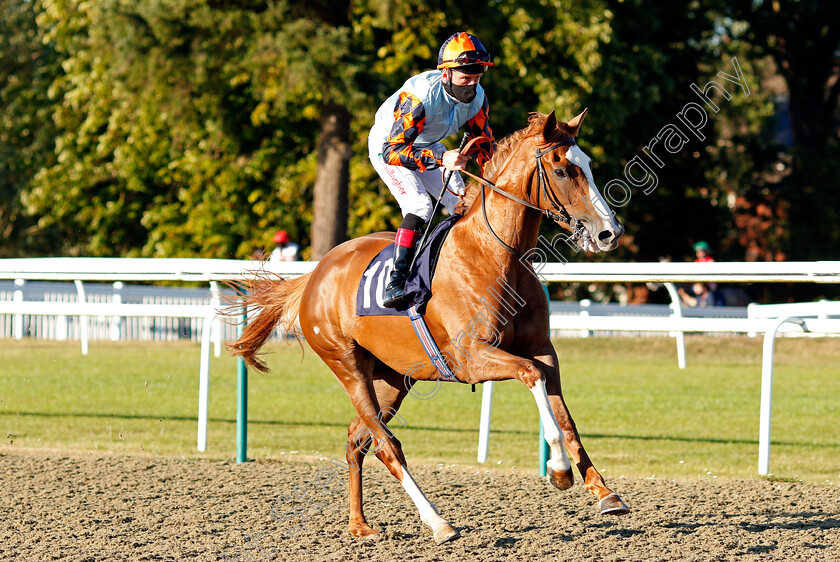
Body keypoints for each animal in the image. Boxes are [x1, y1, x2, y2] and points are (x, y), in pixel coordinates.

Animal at [230, 109, 632, 544]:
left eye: (587, 164)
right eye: (561, 169)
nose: (610, 232)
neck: (495, 255)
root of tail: (316, 273)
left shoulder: (543, 348)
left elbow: (565, 416)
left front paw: (604, 492)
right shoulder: (472, 358)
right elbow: (532, 376)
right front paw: (558, 470)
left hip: (392, 378)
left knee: (358, 438)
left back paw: (360, 525)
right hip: (347, 365)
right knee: (385, 445)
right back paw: (439, 523)